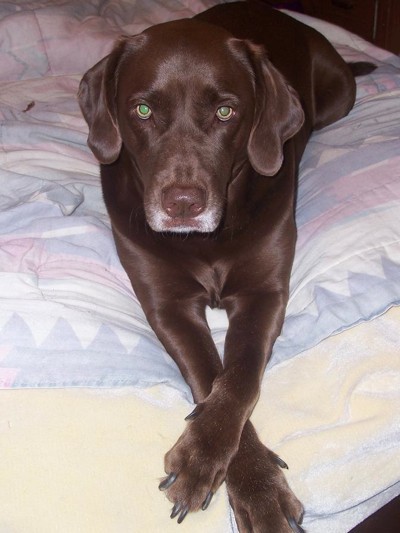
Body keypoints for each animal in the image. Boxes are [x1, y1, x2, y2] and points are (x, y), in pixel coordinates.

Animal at [77, 2, 356, 528]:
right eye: (143, 110)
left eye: (226, 111)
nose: (183, 204)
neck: (206, 241)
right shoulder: (167, 304)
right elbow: (210, 374)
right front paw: (238, 476)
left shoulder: (264, 294)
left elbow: (240, 376)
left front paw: (252, 487)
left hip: (340, 98)